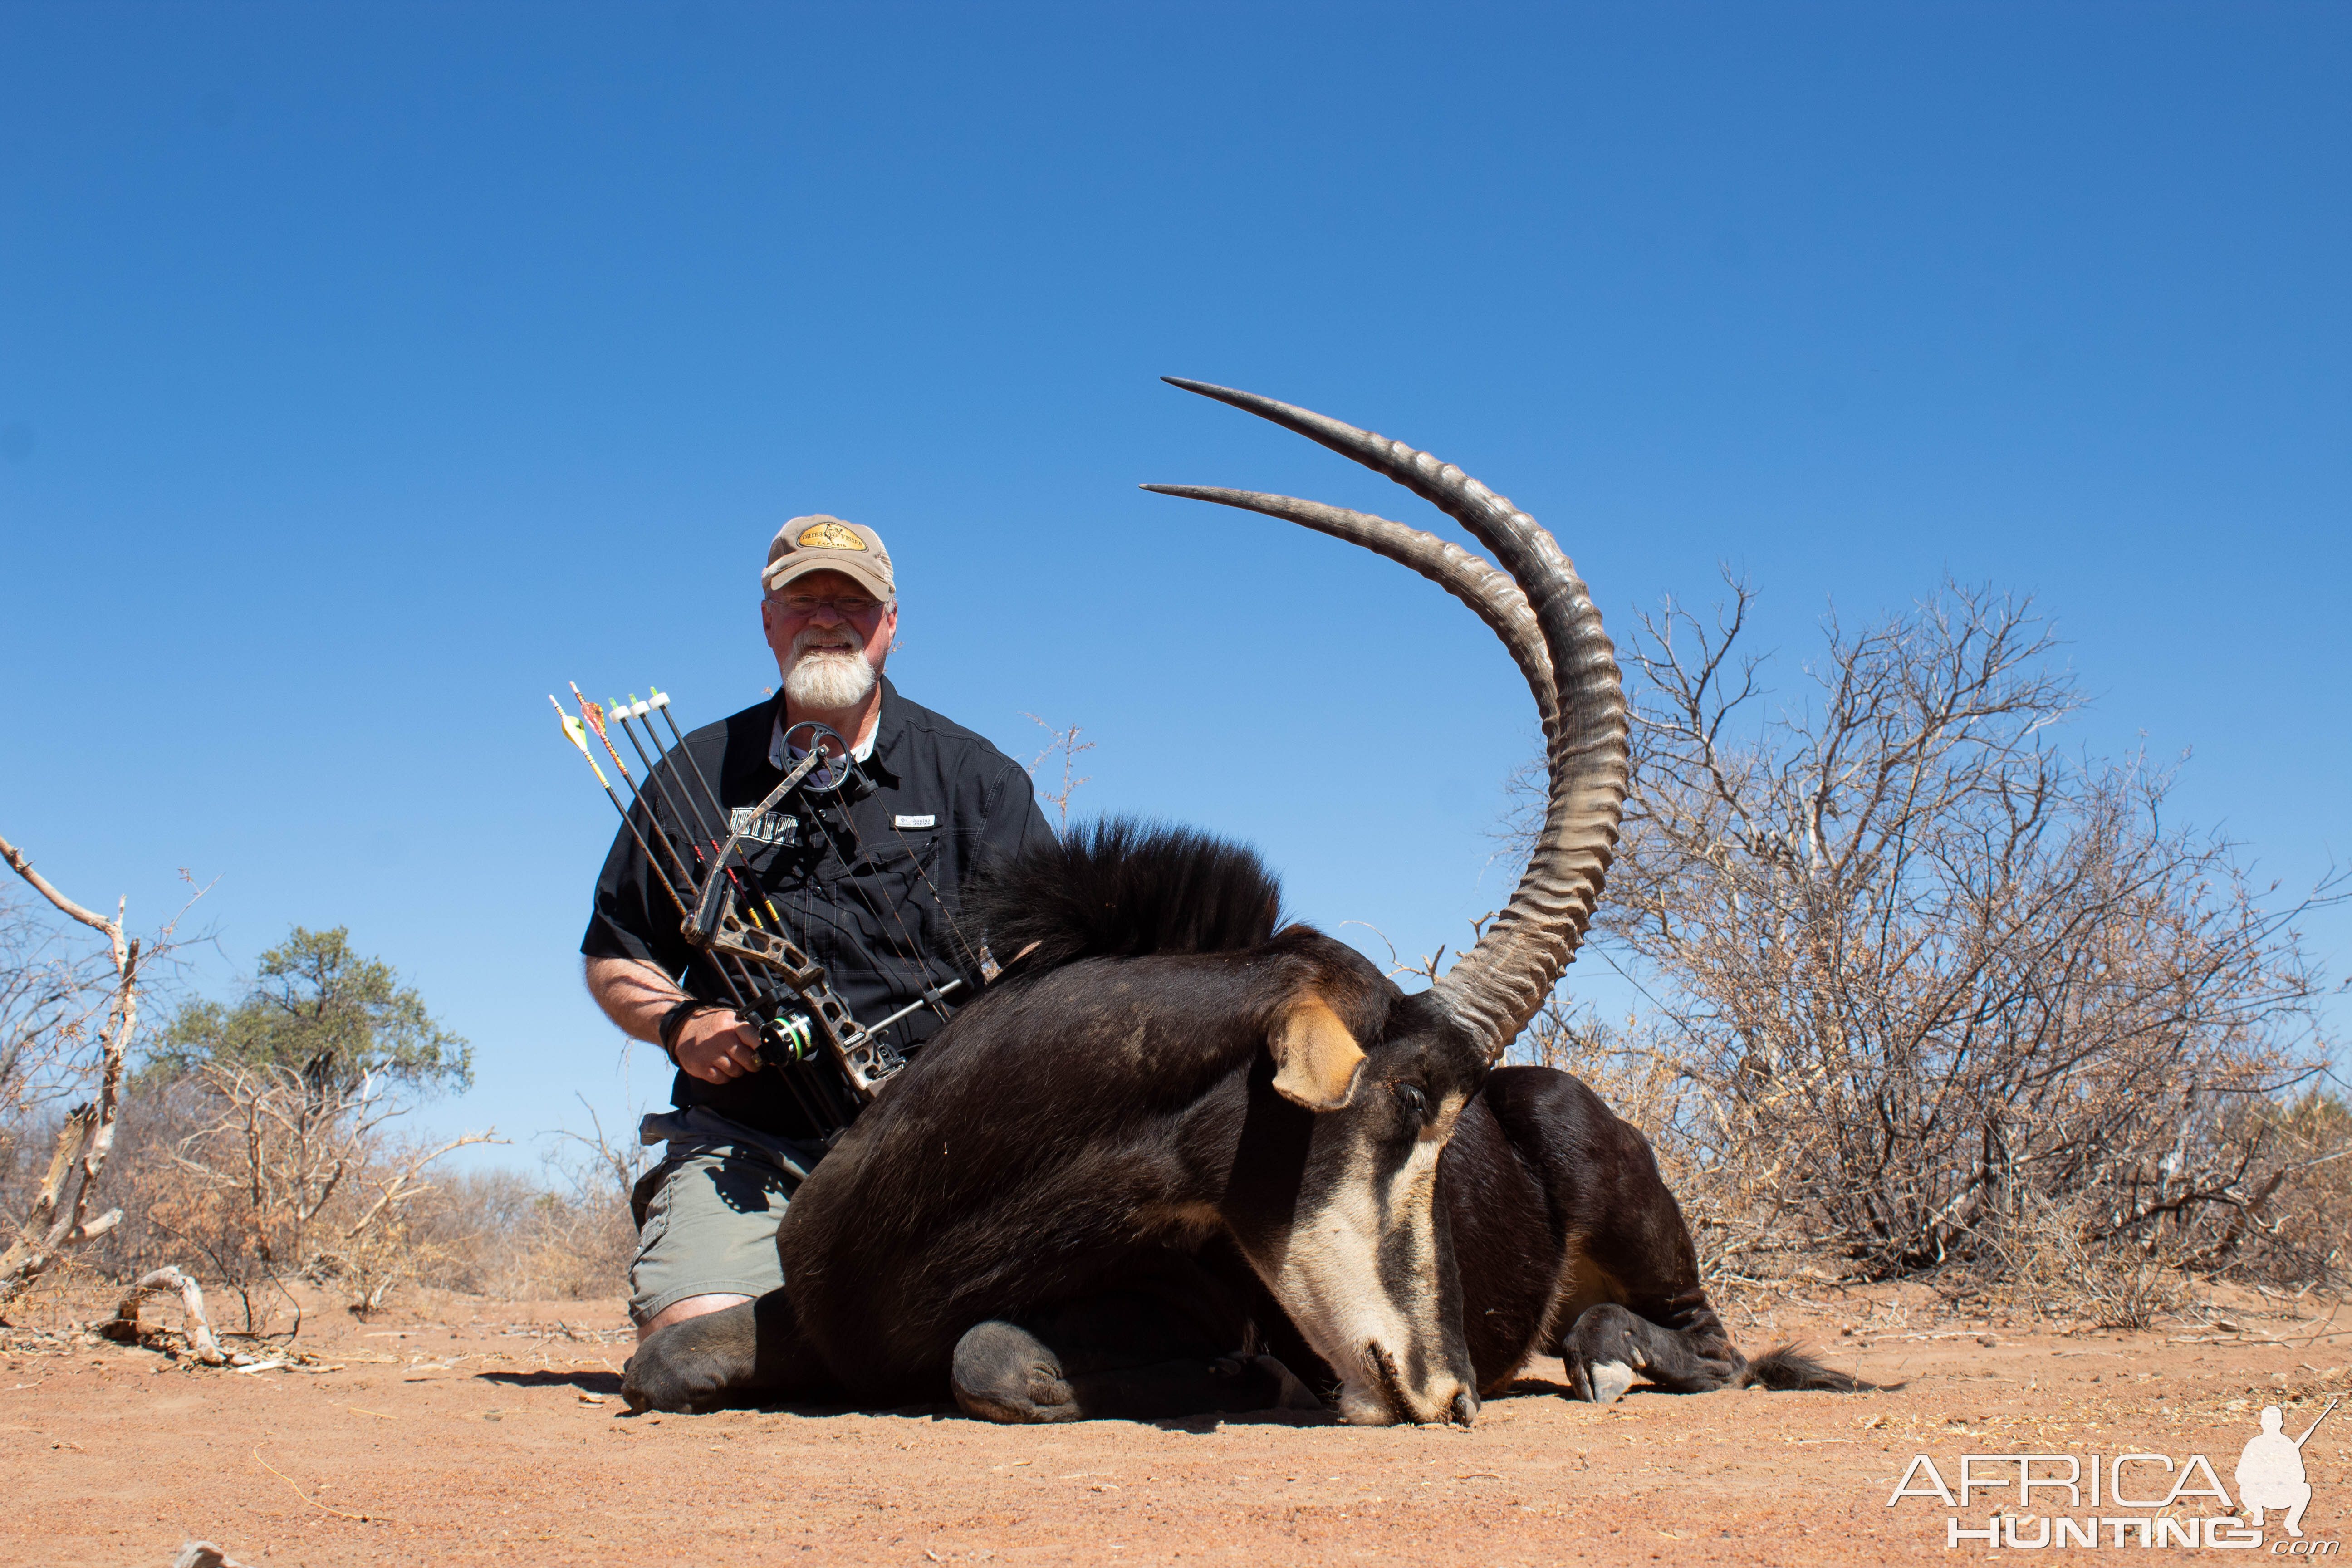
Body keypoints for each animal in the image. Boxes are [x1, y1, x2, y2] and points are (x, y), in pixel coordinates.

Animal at [630, 381, 1853, 1420]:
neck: (939, 1196)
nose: (1447, 1390)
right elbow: (663, 1360)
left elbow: (994, 1355)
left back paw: (1603, 1351)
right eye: (1412, 1102)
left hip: (1600, 1174)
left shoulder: (1200, 1322)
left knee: (1716, 1346)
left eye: (1450, 1122)